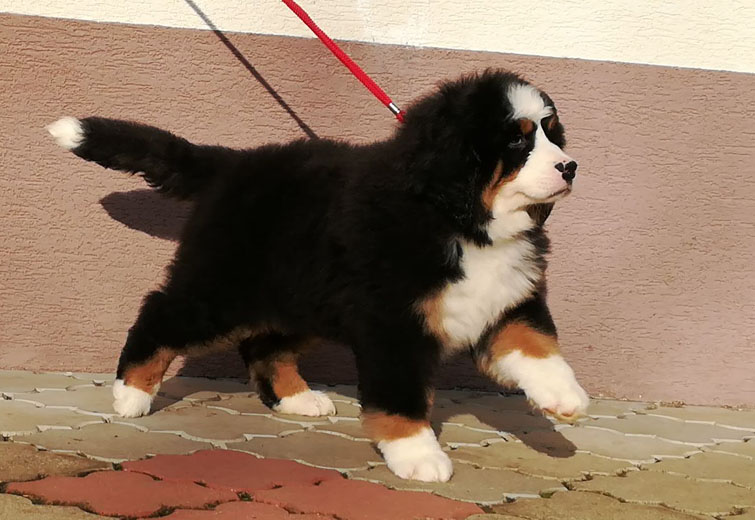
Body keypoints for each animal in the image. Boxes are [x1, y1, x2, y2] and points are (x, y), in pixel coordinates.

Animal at [47, 69, 589, 482]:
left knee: (264, 346)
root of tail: (232, 163)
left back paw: (298, 399)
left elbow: (536, 345)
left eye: (551, 132)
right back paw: (131, 393)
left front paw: (564, 397)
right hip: (224, 286)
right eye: (517, 139)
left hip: (299, 297)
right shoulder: (394, 325)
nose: (570, 167)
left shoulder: (506, 298)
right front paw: (418, 455)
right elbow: (402, 396)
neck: (462, 221)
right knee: (161, 313)